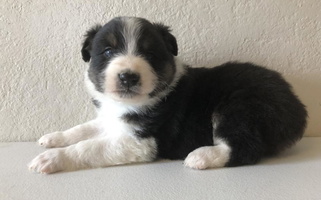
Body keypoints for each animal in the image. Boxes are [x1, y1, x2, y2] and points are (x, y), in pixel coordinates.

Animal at [28, 16, 306, 173]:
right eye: (107, 51)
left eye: (150, 54)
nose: (128, 77)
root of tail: (297, 107)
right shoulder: (111, 120)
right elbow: (83, 129)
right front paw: (53, 138)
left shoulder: (144, 141)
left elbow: (90, 147)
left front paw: (50, 159)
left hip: (240, 106)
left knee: (246, 146)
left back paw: (201, 156)